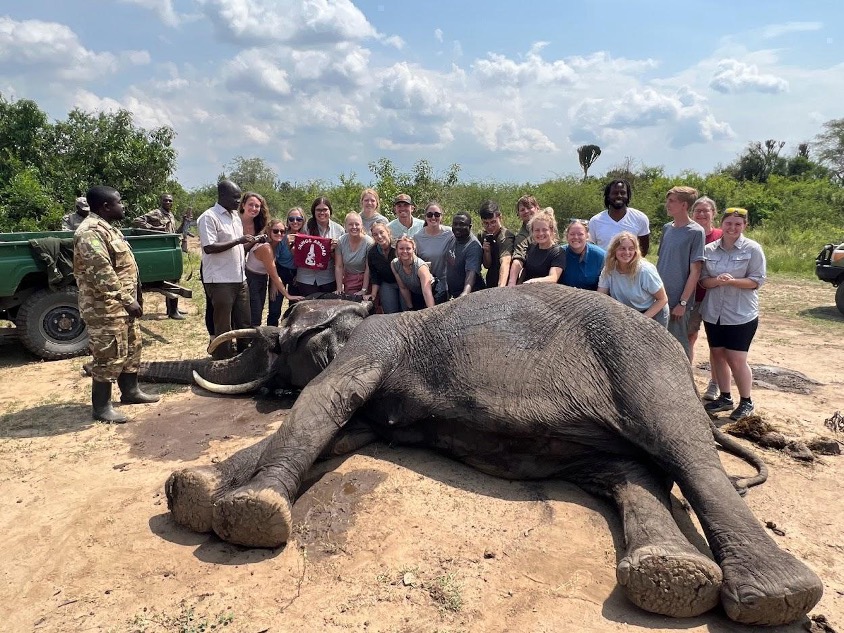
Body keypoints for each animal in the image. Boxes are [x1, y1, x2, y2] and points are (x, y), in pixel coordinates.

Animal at [160, 285, 822, 626]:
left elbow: (321, 403)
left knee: (687, 455)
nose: (243, 349)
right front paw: (194, 490)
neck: (365, 312)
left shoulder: (373, 346)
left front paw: (249, 513)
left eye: (275, 342)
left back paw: (774, 597)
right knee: (631, 470)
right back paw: (670, 576)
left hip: (642, 361)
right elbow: (341, 432)